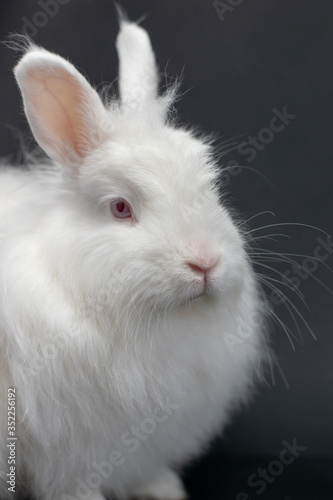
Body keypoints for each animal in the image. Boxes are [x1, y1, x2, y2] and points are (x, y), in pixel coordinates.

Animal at [0, 13, 268, 500]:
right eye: (121, 208)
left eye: (210, 190)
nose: (204, 262)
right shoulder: (64, 447)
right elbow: (73, 482)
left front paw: (165, 488)